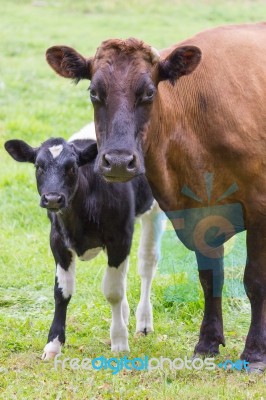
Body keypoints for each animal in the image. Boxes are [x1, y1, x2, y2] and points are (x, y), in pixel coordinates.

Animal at [4, 122, 164, 360]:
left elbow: (113, 291)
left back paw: (143, 323)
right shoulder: (58, 241)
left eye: (72, 168)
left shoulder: (120, 237)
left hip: (155, 209)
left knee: (147, 264)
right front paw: (53, 345)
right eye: (38, 167)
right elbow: (62, 292)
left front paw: (119, 341)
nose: (53, 198)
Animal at [46, 21, 266, 372]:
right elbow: (209, 277)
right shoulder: (192, 212)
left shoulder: (259, 207)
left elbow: (255, 280)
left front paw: (255, 352)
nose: (118, 161)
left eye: (149, 92)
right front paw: (207, 343)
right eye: (94, 92)